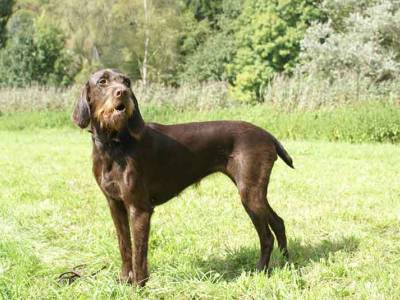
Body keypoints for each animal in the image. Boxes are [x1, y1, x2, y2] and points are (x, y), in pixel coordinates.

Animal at [72, 69, 294, 288]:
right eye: (102, 81)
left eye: (126, 82)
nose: (123, 93)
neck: (113, 145)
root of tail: (268, 135)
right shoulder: (115, 204)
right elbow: (124, 246)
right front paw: (124, 281)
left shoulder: (140, 209)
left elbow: (139, 254)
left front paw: (138, 287)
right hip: (253, 193)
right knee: (278, 222)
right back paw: (285, 262)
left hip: (249, 194)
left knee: (267, 236)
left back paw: (260, 271)